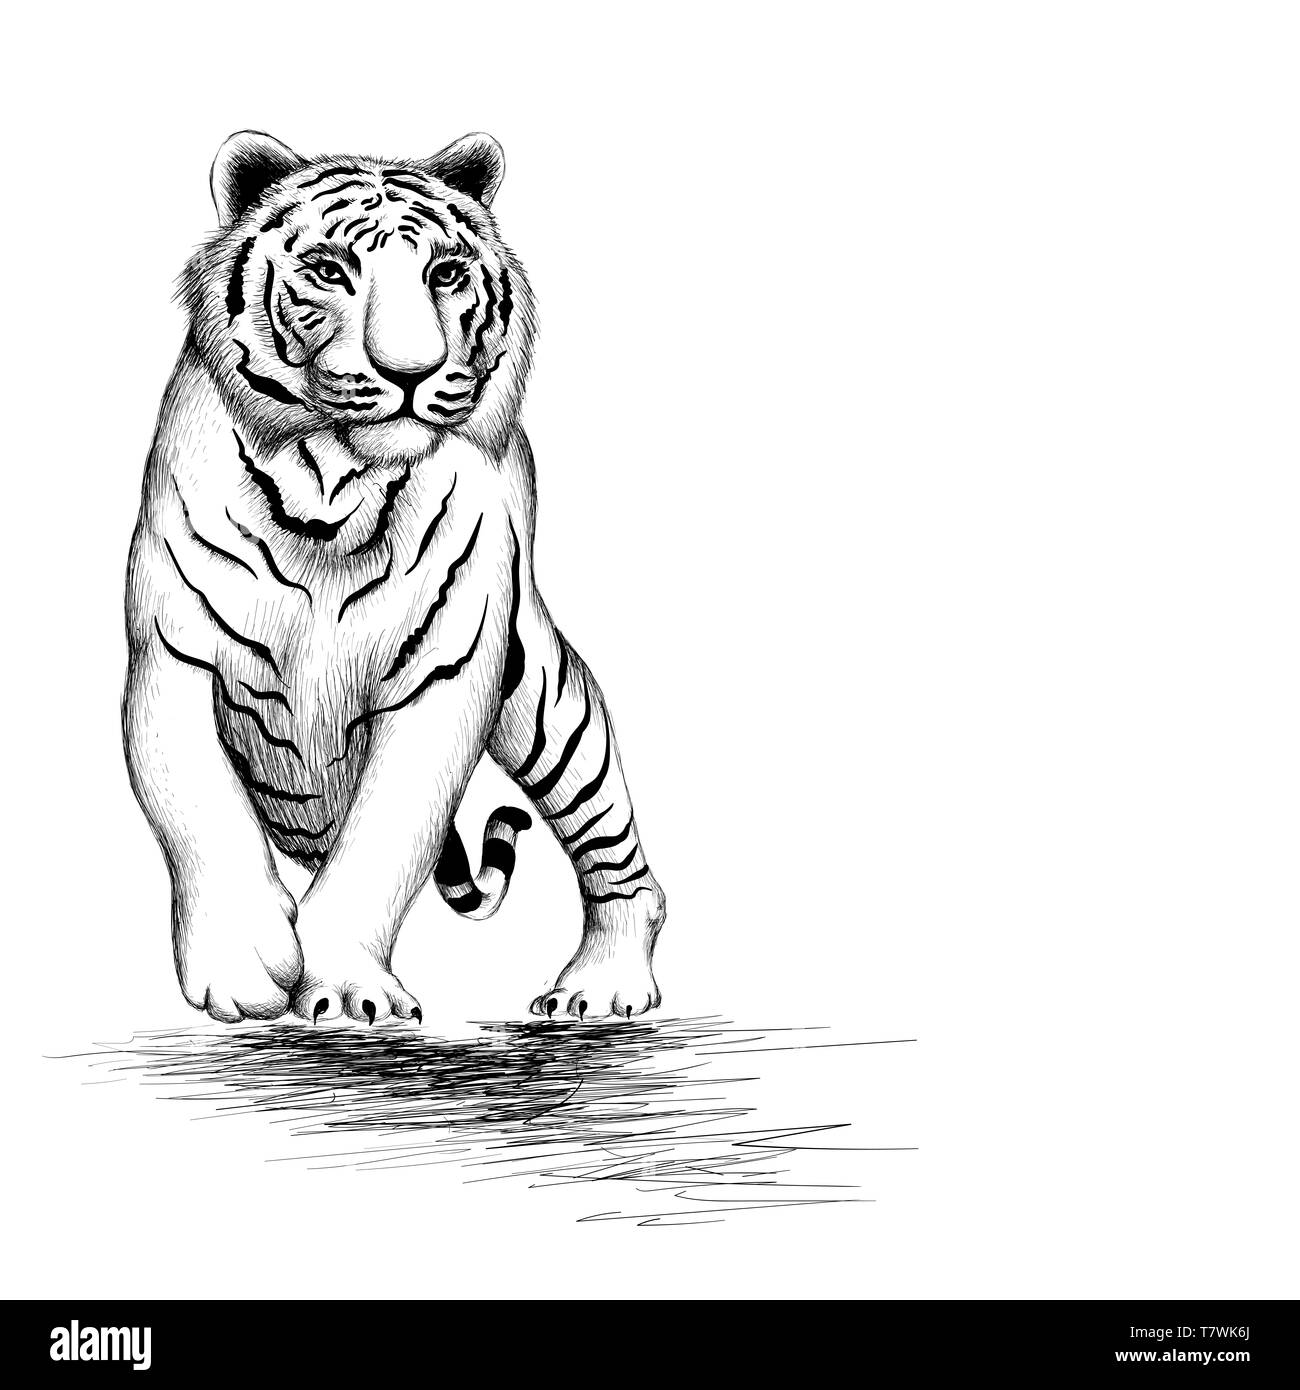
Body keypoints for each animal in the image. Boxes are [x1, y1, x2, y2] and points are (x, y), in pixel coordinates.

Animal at [122, 130, 667, 1025]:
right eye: (329, 270)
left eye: (444, 273)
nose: (412, 372)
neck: (328, 497)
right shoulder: (174, 658)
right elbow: (196, 810)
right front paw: (243, 966)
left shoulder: (444, 679)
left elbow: (385, 846)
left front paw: (345, 988)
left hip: (546, 703)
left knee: (620, 859)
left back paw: (601, 983)